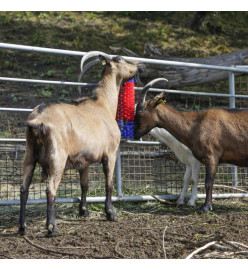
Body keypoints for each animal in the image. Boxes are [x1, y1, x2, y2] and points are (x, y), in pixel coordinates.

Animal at [19, 51, 141, 236]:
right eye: (120, 58)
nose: (139, 66)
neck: (103, 104)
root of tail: (37, 120)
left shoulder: (84, 161)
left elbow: (84, 185)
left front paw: (84, 211)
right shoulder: (110, 153)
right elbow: (109, 184)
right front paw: (110, 213)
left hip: (29, 154)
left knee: (23, 189)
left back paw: (22, 227)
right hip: (57, 158)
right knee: (50, 190)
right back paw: (52, 228)